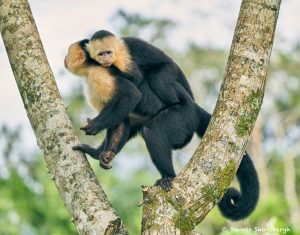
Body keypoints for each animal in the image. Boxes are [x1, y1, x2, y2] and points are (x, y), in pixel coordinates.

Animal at [67, 30, 258, 220]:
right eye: (101, 54)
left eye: (107, 53)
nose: (64, 59)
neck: (89, 70)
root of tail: (193, 107)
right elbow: (121, 121)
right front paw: (101, 153)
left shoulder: (101, 74)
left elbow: (131, 94)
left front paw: (96, 125)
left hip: (183, 118)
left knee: (154, 123)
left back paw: (168, 176)